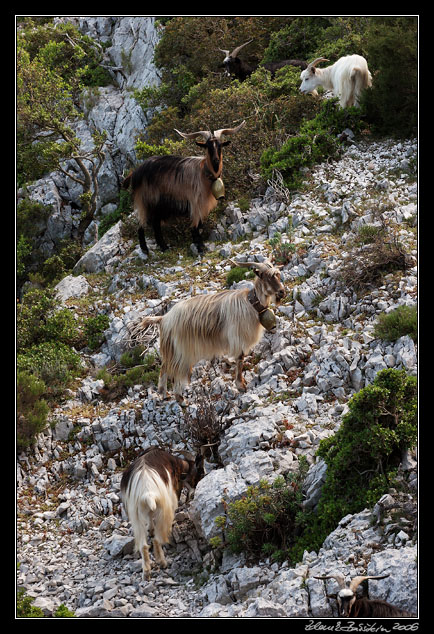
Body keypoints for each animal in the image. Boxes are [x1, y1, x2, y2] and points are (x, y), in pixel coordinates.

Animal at [120, 444, 205, 576]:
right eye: (200, 473)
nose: (195, 491)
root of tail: (147, 490)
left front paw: (150, 530)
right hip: (163, 508)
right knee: (157, 538)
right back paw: (162, 562)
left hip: (136, 513)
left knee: (143, 544)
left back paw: (146, 572)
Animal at [122, 120, 246, 252]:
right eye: (207, 146)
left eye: (220, 146)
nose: (216, 161)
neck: (204, 173)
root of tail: (135, 172)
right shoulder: (195, 202)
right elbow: (196, 225)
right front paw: (200, 246)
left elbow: (199, 224)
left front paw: (199, 244)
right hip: (145, 201)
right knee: (141, 224)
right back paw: (145, 250)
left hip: (159, 205)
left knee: (155, 224)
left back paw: (164, 247)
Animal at [132, 258, 284, 402]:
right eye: (266, 276)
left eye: (278, 274)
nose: (282, 292)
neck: (250, 304)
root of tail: (163, 318)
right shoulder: (238, 338)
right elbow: (240, 360)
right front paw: (240, 385)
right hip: (182, 350)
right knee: (175, 371)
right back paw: (180, 399)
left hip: (170, 350)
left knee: (164, 368)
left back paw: (164, 394)